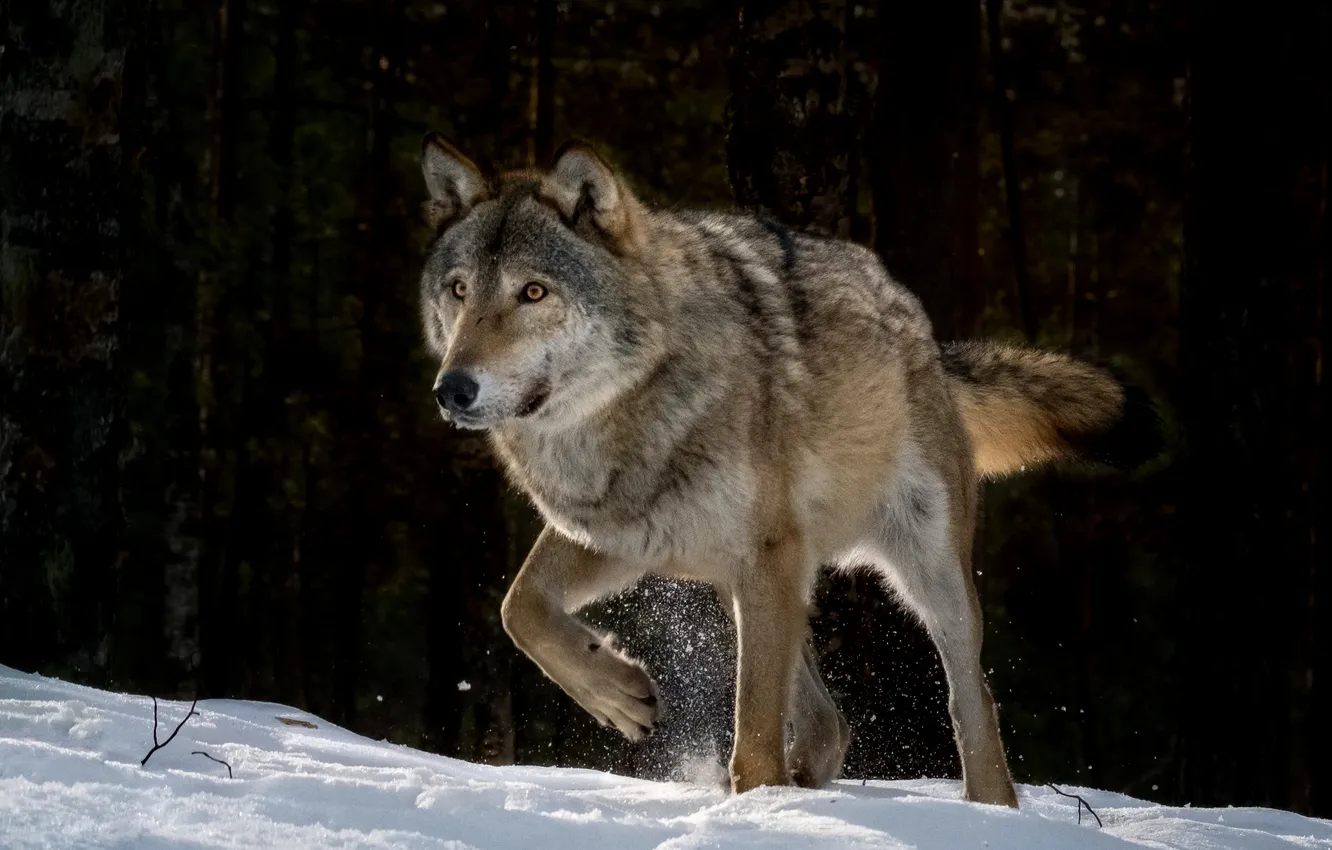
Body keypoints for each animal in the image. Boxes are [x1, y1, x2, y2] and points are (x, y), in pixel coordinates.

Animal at [416, 134, 1159, 806]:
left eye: (533, 292)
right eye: (459, 291)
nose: (452, 389)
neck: (624, 413)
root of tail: (920, 328)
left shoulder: (757, 556)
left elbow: (753, 739)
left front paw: (757, 810)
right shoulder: (621, 537)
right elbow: (519, 609)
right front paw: (620, 695)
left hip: (918, 575)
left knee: (969, 699)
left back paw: (987, 811)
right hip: (747, 582)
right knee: (830, 723)